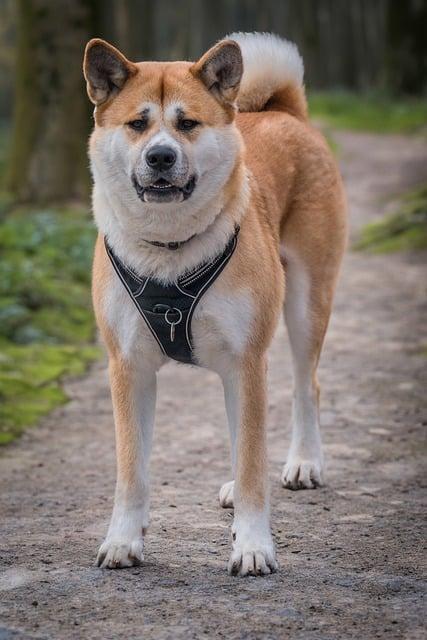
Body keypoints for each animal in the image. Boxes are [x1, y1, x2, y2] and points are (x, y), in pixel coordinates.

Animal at [83, 32, 348, 576]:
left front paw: (253, 545)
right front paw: (123, 538)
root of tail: (283, 111)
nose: (161, 157)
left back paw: (303, 462)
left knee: (305, 386)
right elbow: (132, 468)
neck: (169, 248)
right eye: (138, 124)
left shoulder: (246, 361)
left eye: (188, 124)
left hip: (306, 306)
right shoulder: (129, 367)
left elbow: (252, 463)